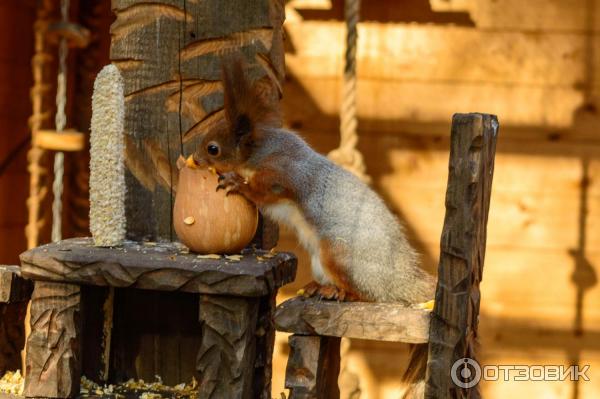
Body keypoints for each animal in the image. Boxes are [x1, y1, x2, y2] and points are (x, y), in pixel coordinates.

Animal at [192, 58, 436, 304]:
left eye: (213, 149)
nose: (195, 159)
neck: (259, 152)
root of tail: (403, 283)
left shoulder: (282, 174)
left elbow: (261, 192)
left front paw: (236, 183)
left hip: (339, 253)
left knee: (367, 294)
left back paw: (340, 292)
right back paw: (317, 287)